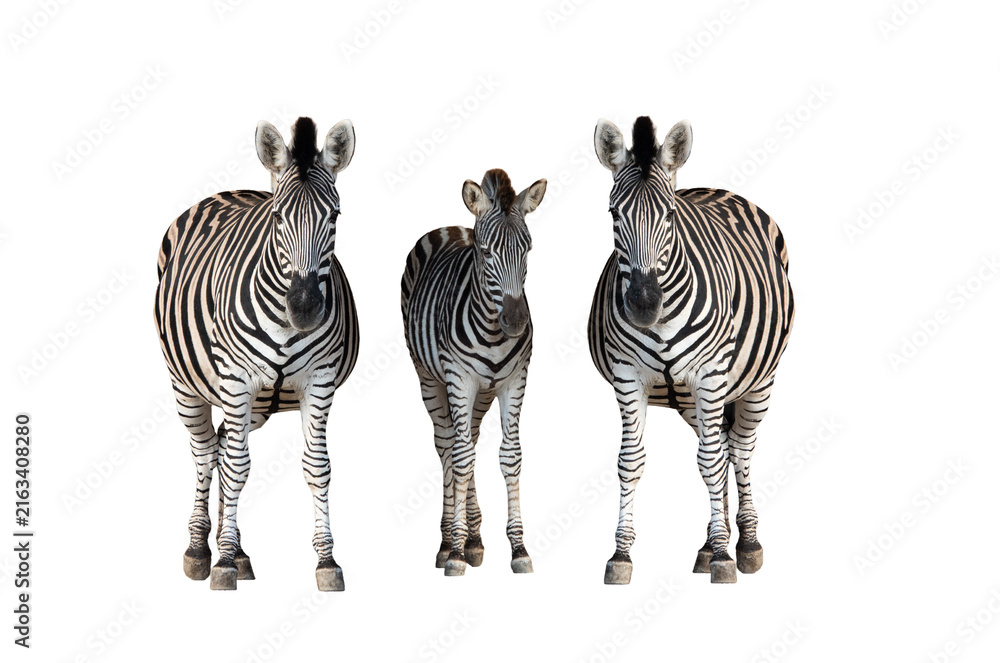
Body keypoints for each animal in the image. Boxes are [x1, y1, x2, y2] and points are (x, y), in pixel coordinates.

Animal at [154, 116, 359, 591]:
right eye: (279, 217)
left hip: (254, 405)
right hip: (186, 386)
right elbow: (235, 467)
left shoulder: (319, 381)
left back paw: (237, 549)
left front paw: (326, 561)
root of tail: (229, 192)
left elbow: (316, 467)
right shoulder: (236, 381)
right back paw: (201, 550)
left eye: (335, 216)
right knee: (206, 453)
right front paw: (222, 563)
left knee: (222, 447)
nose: (305, 308)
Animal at [401, 169, 547, 577]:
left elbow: (510, 456)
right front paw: (455, 553)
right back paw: (448, 541)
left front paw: (518, 549)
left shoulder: (515, 379)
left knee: (472, 441)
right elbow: (460, 457)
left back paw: (475, 540)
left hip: (482, 392)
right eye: (485, 252)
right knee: (449, 445)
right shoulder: (459, 379)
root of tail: (450, 228)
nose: (515, 321)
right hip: (430, 379)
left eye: (528, 249)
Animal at [588, 117, 795, 584]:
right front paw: (621, 555)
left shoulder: (711, 376)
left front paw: (724, 557)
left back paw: (746, 544)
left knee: (738, 449)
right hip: (690, 400)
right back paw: (709, 544)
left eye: (669, 215)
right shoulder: (628, 376)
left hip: (758, 383)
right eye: (613, 214)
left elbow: (713, 462)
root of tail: (718, 190)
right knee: (722, 446)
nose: (643, 305)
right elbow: (632, 461)